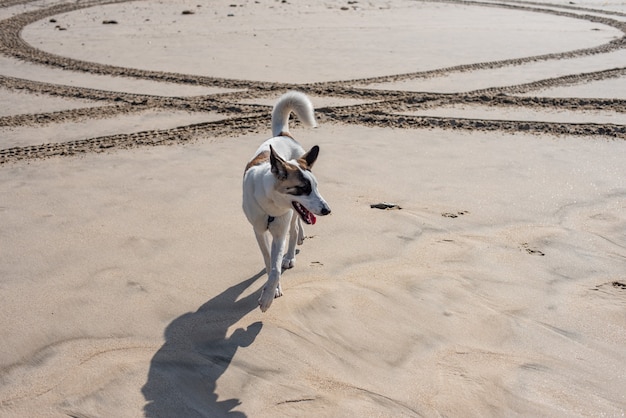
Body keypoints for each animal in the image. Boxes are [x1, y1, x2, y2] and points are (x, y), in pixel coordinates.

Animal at [243, 91, 332, 310]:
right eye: (303, 188)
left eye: (315, 186)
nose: (327, 210)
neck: (270, 203)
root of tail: (282, 135)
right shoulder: (259, 231)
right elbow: (268, 262)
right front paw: (272, 289)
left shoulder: (279, 231)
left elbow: (276, 267)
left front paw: (267, 297)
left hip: (291, 216)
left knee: (293, 229)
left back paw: (291, 252)